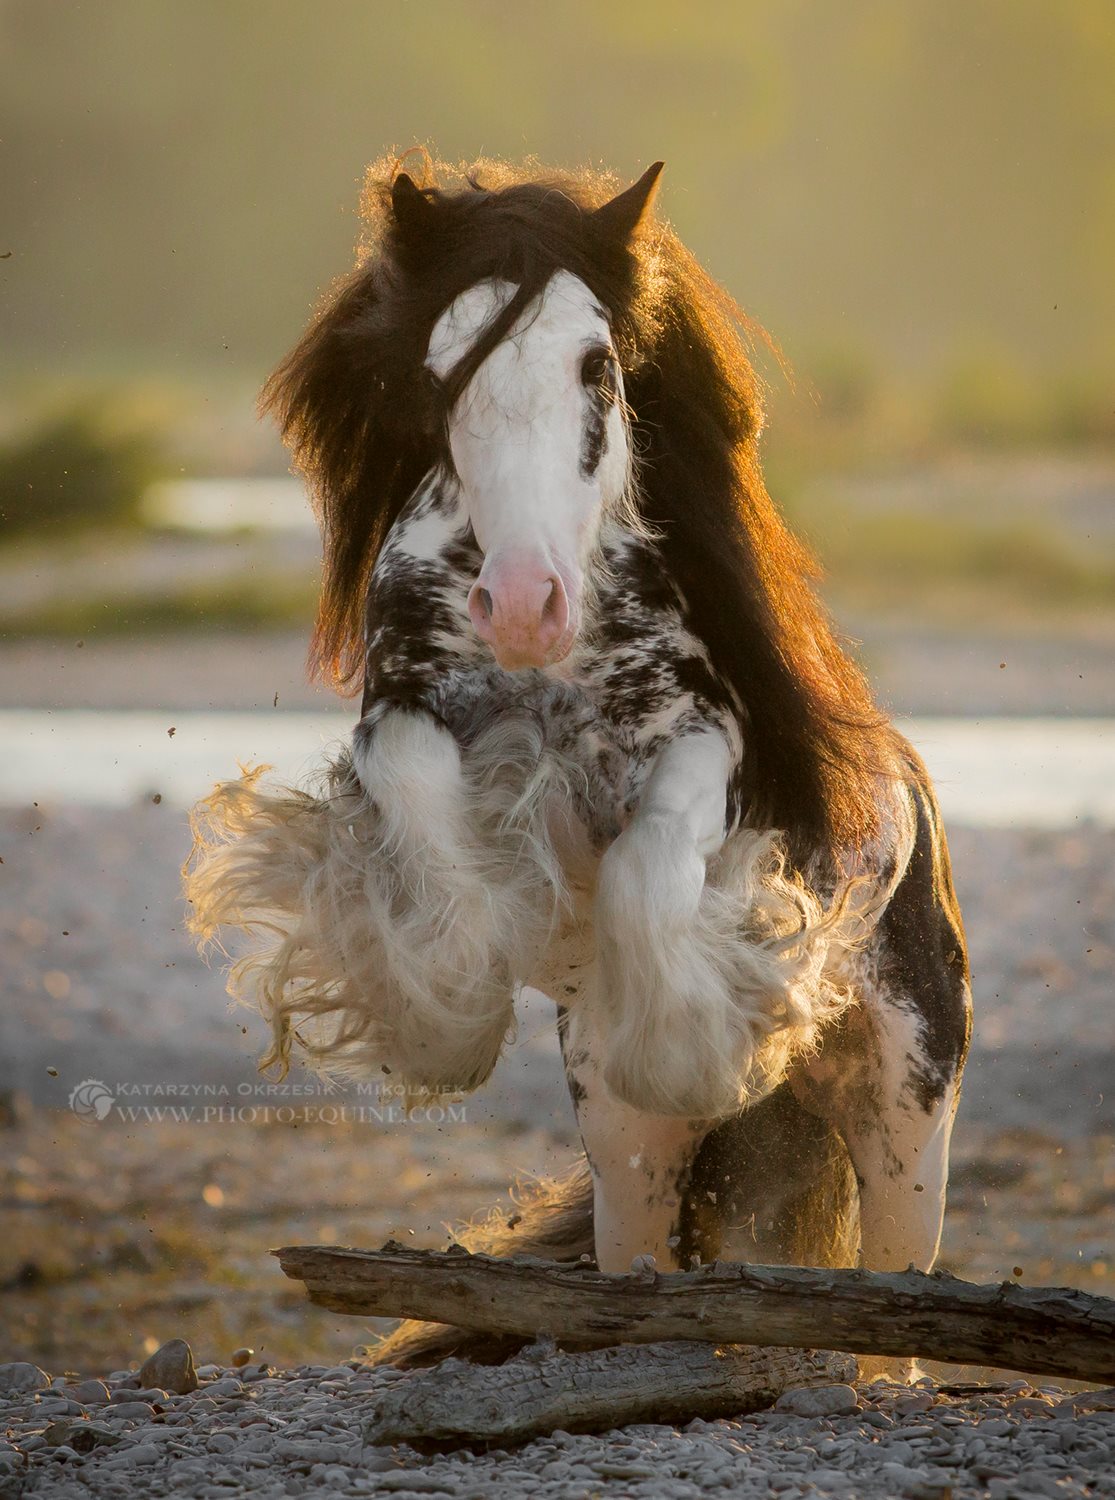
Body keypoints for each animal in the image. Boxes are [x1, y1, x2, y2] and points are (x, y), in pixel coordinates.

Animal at [187, 152, 972, 1374]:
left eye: (597, 366)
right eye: (440, 371)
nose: (521, 605)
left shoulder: (702, 744)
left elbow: (650, 868)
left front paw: (695, 1044)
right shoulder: (400, 715)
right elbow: (424, 817)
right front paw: (444, 1020)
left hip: (905, 1110)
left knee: (893, 1317)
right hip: (623, 1143)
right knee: (638, 1256)